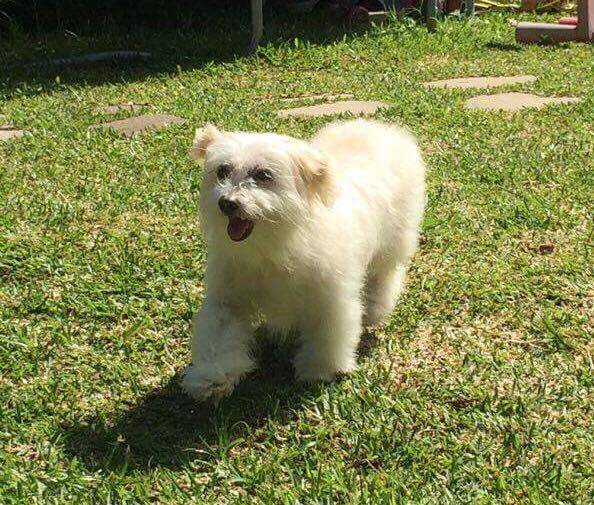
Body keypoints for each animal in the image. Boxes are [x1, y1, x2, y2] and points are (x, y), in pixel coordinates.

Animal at [183, 119, 424, 402]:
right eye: (222, 171)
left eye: (263, 175)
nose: (227, 203)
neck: (272, 248)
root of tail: (378, 128)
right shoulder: (228, 299)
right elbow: (219, 335)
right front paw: (213, 377)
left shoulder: (329, 299)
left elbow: (327, 335)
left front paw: (320, 369)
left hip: (394, 242)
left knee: (385, 275)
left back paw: (375, 308)